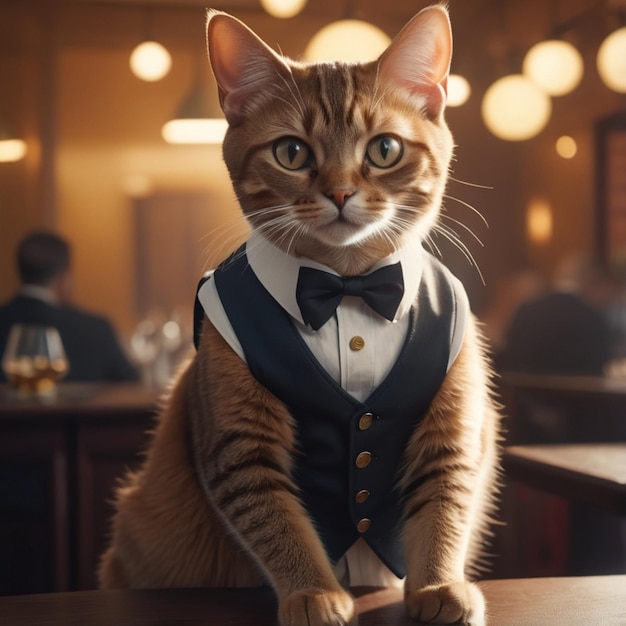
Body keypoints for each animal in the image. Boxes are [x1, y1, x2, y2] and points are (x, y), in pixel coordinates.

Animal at [97, 6, 500, 624]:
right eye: (292, 153)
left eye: (384, 149)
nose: (339, 192)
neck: (347, 288)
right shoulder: (240, 444)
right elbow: (277, 523)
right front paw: (313, 593)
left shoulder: (452, 426)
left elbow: (443, 508)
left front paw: (438, 585)